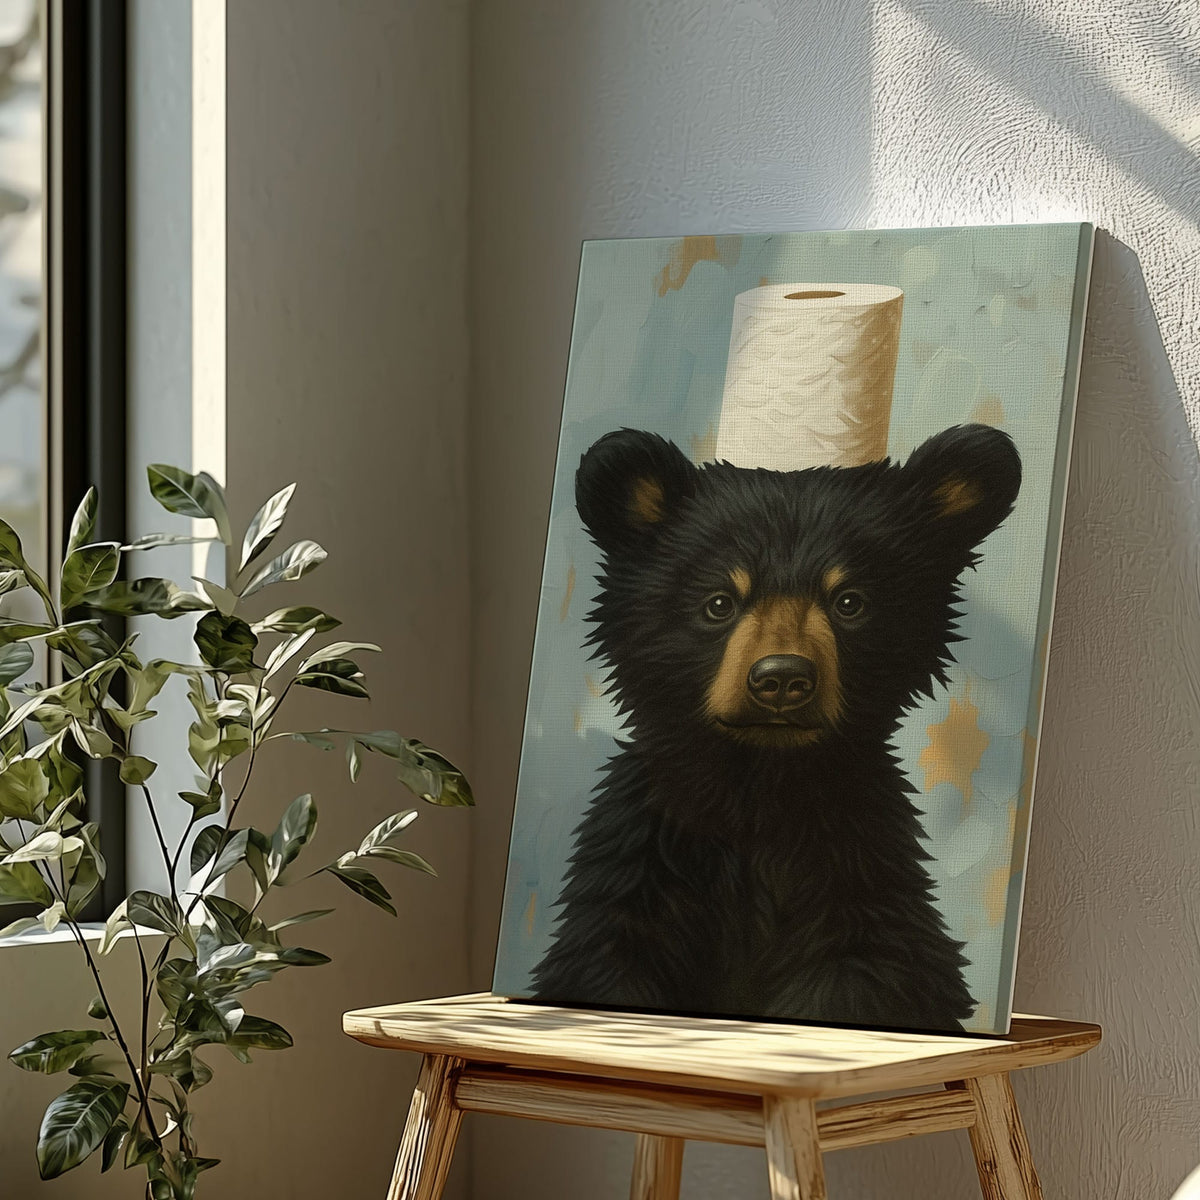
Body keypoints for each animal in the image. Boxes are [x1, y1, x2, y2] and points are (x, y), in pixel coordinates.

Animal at [530, 423, 1022, 1032]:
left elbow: (869, 970)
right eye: (719, 601)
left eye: (849, 601)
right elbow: (609, 956)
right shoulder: (641, 874)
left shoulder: (859, 877)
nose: (783, 679)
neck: (761, 788)